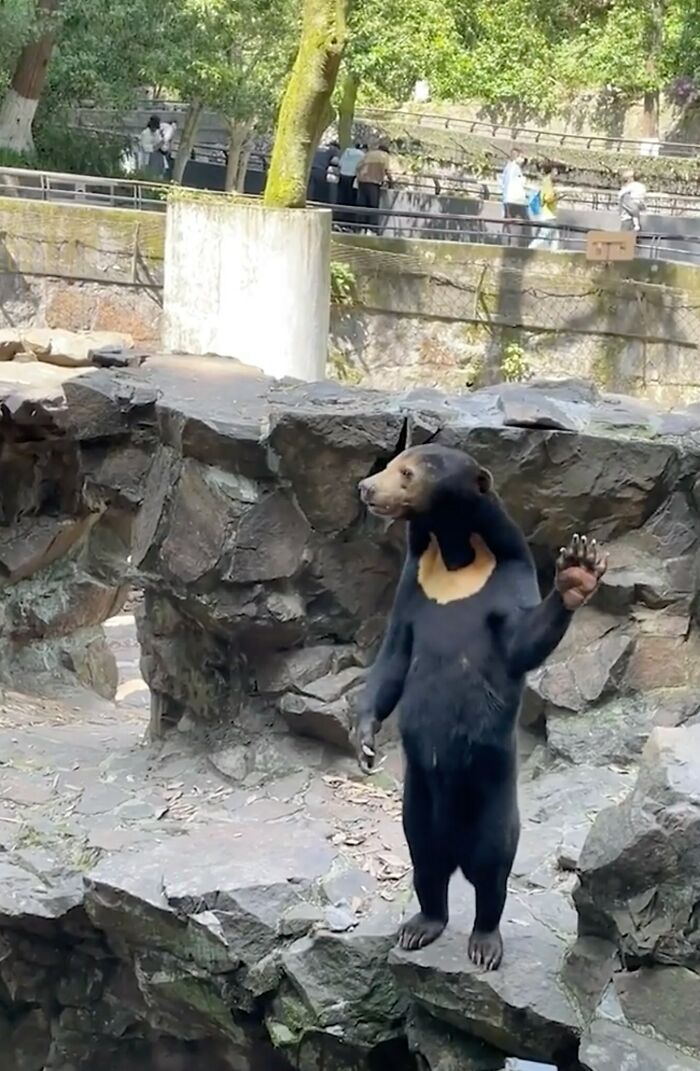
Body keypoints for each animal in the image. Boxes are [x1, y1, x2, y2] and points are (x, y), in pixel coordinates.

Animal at [354, 444, 607, 970]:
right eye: (390, 465)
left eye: (406, 472)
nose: (365, 488)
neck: (454, 555)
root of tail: (456, 848)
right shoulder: (414, 586)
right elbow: (395, 656)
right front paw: (364, 742)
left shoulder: (505, 576)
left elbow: (520, 641)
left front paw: (578, 569)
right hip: (418, 803)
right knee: (426, 862)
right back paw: (421, 926)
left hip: (492, 797)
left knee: (492, 869)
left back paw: (485, 943)